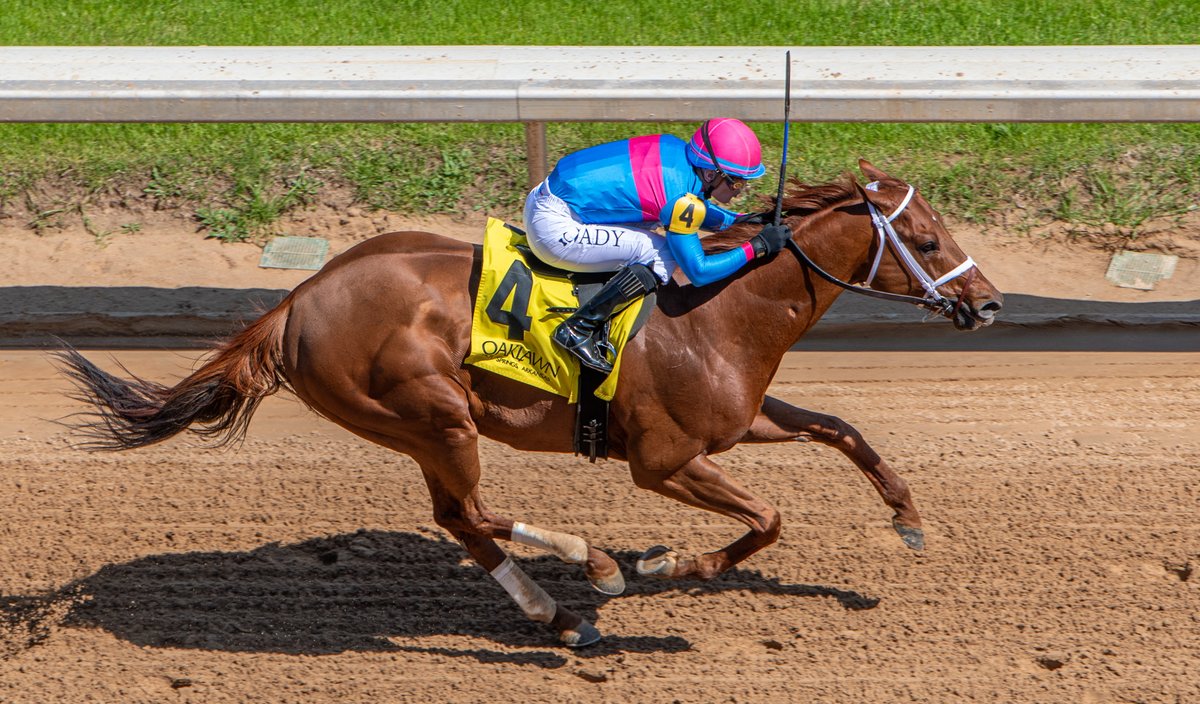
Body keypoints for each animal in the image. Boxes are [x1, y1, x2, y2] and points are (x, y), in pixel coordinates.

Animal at [56, 160, 1003, 652]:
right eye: (926, 242)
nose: (988, 304)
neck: (717, 308)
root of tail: (293, 302)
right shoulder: (663, 462)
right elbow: (766, 518)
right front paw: (663, 564)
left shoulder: (739, 423)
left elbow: (844, 431)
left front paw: (910, 519)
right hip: (433, 414)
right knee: (471, 513)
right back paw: (593, 570)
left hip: (420, 427)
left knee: (460, 520)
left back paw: (561, 610)